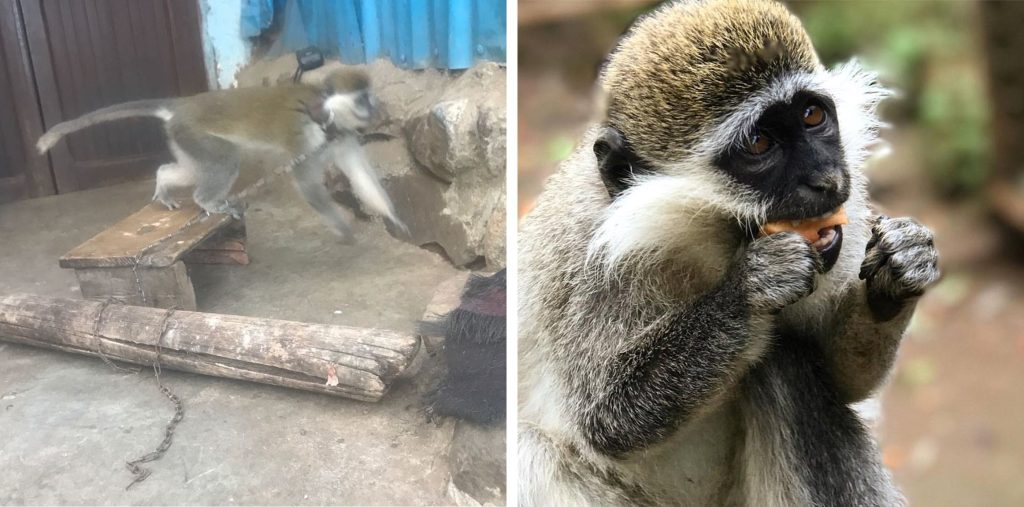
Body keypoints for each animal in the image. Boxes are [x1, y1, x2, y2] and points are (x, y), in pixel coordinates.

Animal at [35, 68, 399, 240]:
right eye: (363, 99)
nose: (376, 109)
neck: (327, 117)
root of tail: (185, 105)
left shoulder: (344, 136)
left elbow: (360, 175)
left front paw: (394, 218)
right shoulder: (302, 138)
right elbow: (308, 185)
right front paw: (342, 228)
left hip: (182, 138)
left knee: (188, 168)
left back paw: (164, 181)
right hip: (193, 133)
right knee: (224, 161)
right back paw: (206, 200)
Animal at [520, 1, 942, 505]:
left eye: (812, 116)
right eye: (759, 144)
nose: (828, 181)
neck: (703, 245)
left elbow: (845, 379)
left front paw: (897, 271)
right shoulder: (588, 263)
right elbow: (605, 419)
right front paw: (750, 290)